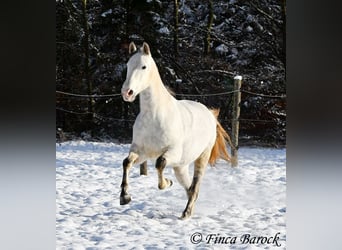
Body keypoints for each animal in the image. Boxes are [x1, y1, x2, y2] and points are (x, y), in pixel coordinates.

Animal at [119, 41, 231, 219]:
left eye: (144, 66)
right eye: (128, 65)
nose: (127, 92)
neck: (154, 116)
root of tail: (209, 114)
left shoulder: (172, 152)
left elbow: (160, 163)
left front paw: (167, 183)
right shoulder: (141, 151)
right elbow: (126, 162)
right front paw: (125, 197)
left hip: (201, 159)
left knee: (195, 187)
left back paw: (186, 213)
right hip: (181, 167)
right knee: (189, 189)